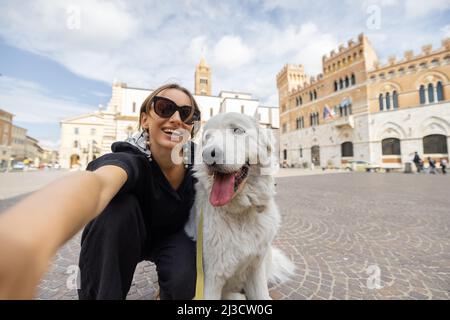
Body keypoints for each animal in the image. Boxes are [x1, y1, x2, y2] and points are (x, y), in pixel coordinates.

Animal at [185, 112, 296, 300]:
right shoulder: (212, 277)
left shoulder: (256, 267)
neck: (240, 213)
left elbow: (262, 295)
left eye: (237, 130)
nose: (208, 154)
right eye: (207, 137)